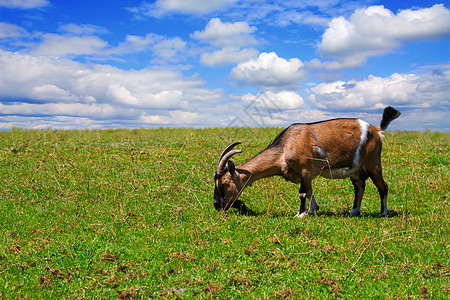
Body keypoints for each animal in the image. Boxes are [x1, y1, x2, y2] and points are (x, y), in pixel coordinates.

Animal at [214, 106, 400, 217]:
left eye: (222, 184)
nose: (217, 205)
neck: (286, 146)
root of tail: (377, 130)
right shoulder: (306, 175)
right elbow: (309, 191)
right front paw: (312, 210)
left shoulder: (305, 170)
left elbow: (303, 193)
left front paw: (301, 213)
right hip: (355, 170)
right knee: (359, 186)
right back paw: (354, 211)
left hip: (373, 163)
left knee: (383, 187)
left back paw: (383, 213)